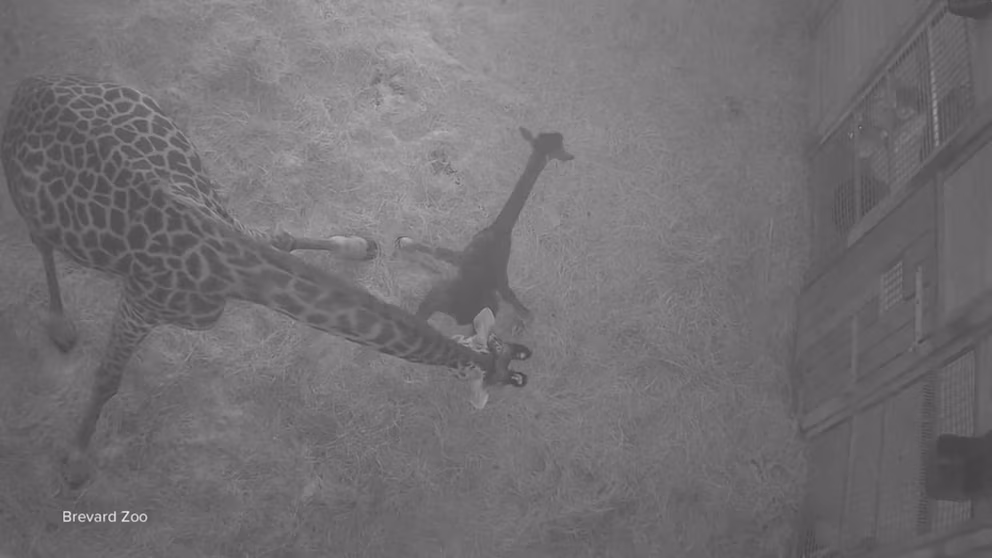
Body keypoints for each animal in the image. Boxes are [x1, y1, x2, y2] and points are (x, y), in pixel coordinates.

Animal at [1, 75, 530, 489]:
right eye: (502, 380)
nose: (516, 384)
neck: (233, 271)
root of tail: (31, 85)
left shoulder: (233, 226)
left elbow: (282, 236)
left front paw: (359, 245)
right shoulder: (141, 302)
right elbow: (108, 378)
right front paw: (75, 462)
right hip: (26, 200)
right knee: (41, 244)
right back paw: (60, 325)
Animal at [396, 127, 572, 335]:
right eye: (559, 147)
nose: (570, 156)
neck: (500, 230)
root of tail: (457, 312)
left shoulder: (474, 263)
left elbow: (438, 251)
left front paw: (403, 241)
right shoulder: (484, 267)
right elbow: (438, 251)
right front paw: (404, 242)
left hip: (441, 302)